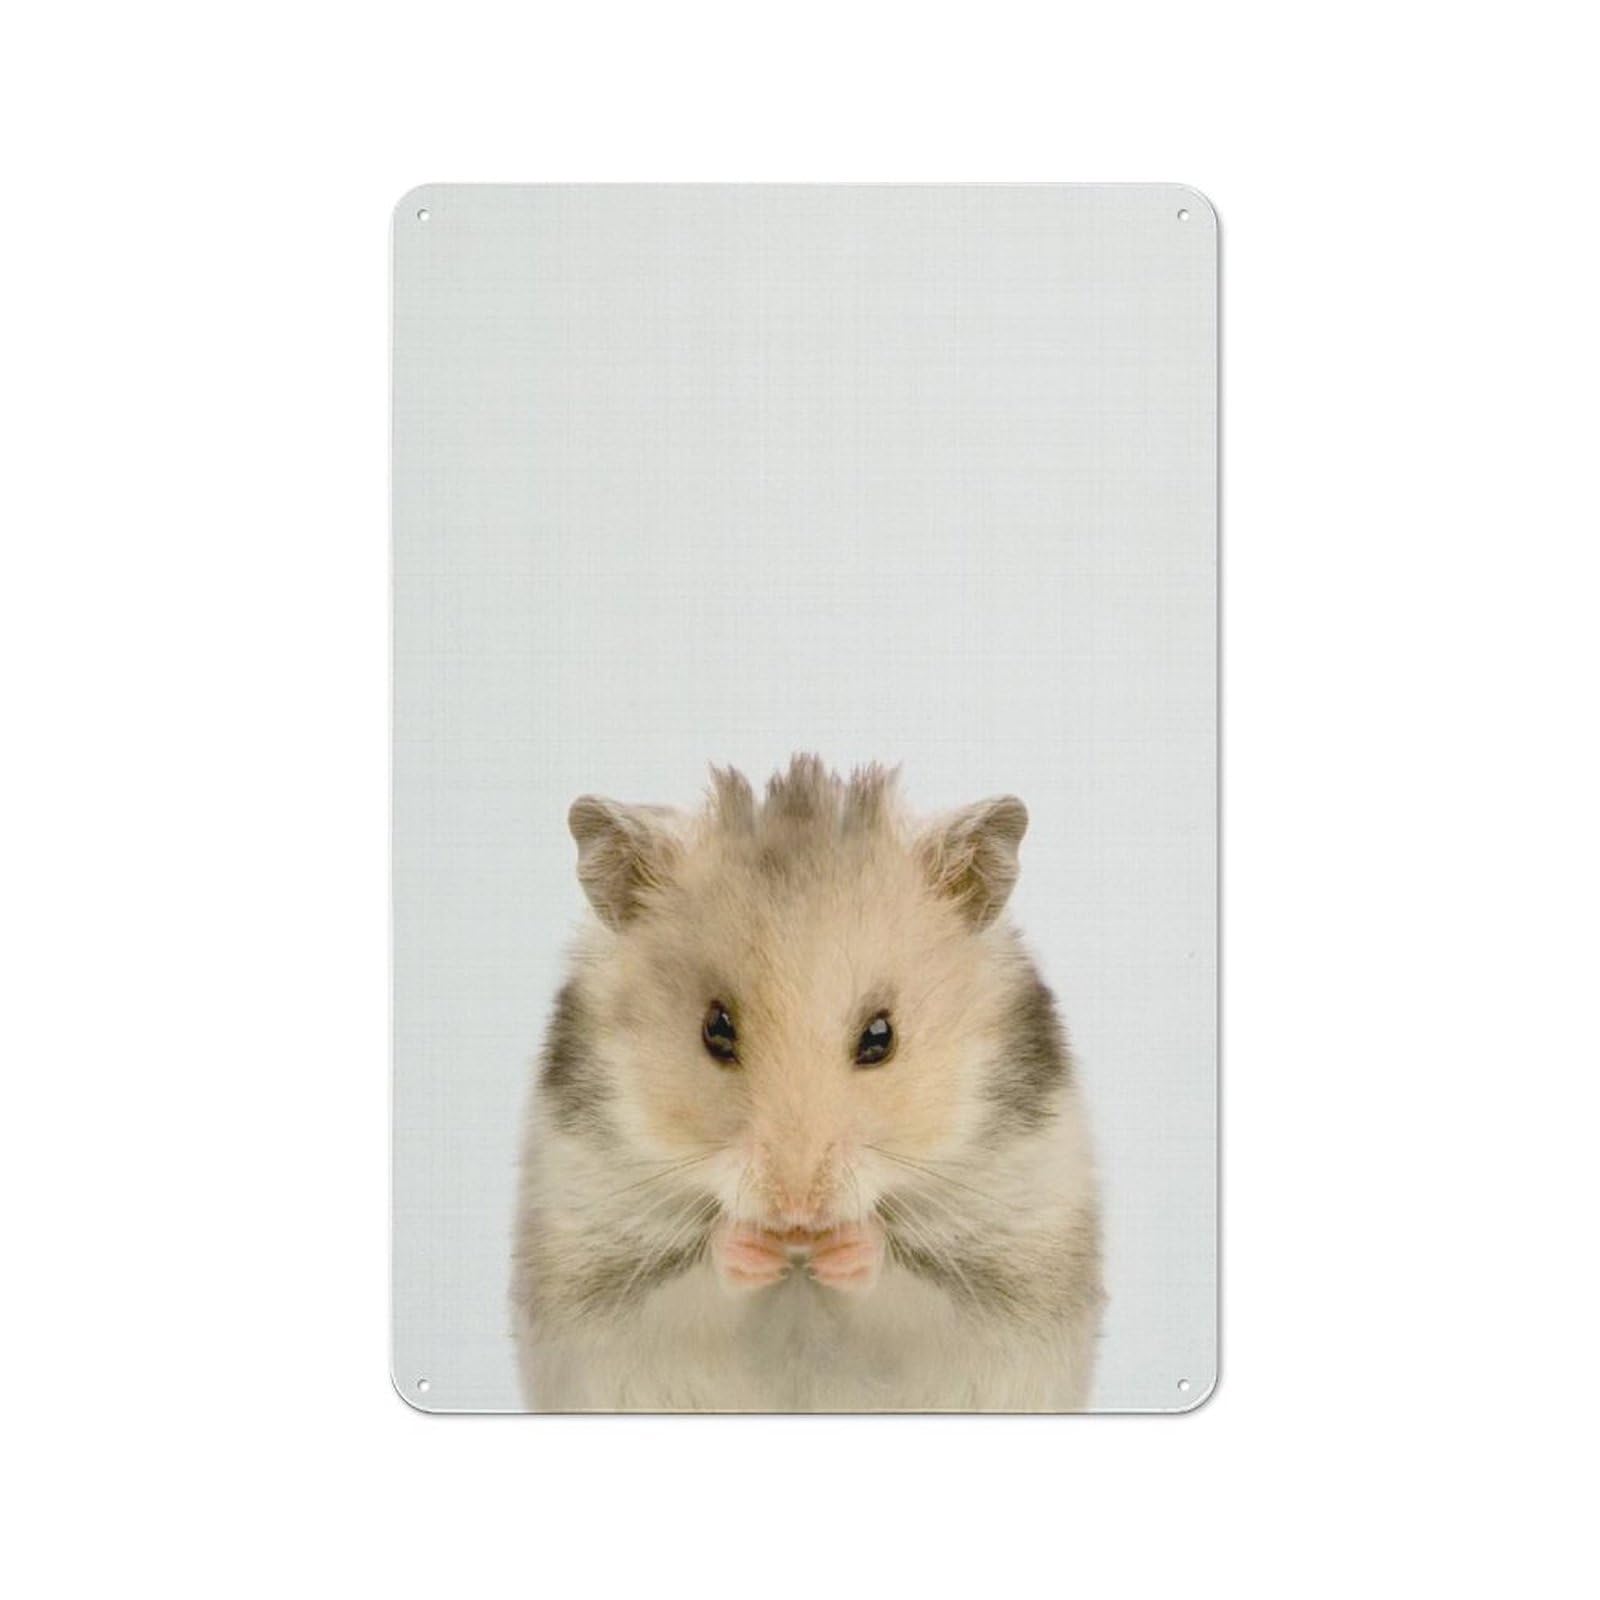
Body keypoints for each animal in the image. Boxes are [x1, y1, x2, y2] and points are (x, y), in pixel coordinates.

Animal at [511, 755, 1103, 1411]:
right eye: (715, 1029)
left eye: (880, 1035)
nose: (797, 1213)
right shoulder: (598, 1265)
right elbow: (697, 1282)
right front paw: (751, 1248)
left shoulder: (1004, 1267)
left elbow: (901, 1283)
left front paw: (848, 1248)